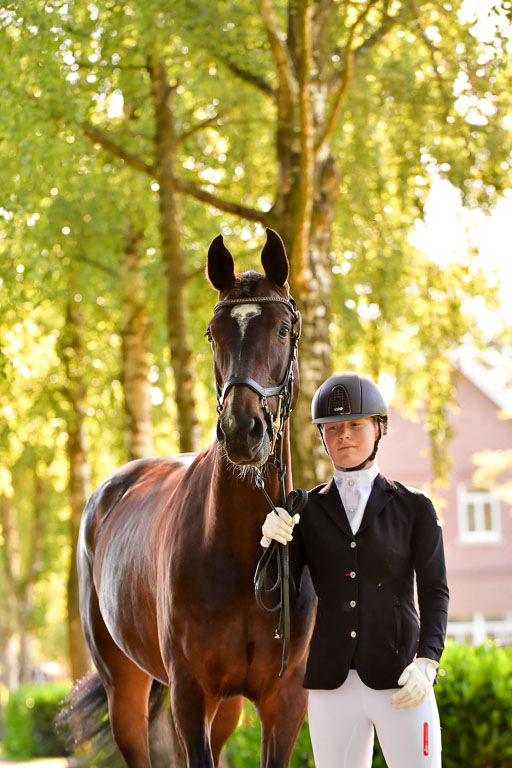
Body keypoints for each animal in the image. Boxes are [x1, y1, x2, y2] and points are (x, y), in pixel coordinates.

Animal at [70, 228, 316, 768]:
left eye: (283, 329)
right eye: (213, 333)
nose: (243, 431)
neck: (247, 549)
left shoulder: (285, 697)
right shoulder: (190, 691)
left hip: (225, 707)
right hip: (126, 685)